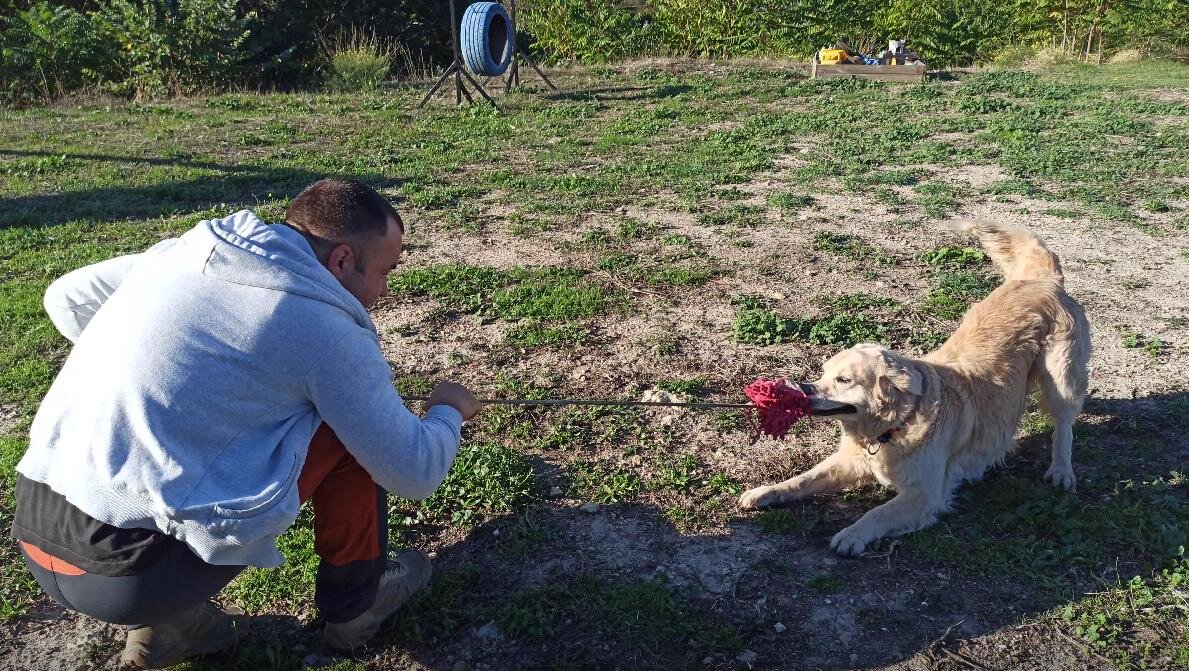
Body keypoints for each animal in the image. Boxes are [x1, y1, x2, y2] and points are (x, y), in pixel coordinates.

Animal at [737, 220, 1089, 556]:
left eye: (844, 380)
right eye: (823, 373)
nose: (805, 390)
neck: (893, 427)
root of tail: (1044, 280)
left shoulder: (924, 494)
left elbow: (877, 513)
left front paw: (852, 535)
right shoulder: (848, 462)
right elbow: (802, 479)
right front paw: (765, 491)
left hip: (1062, 380)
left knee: (1064, 426)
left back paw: (1061, 471)